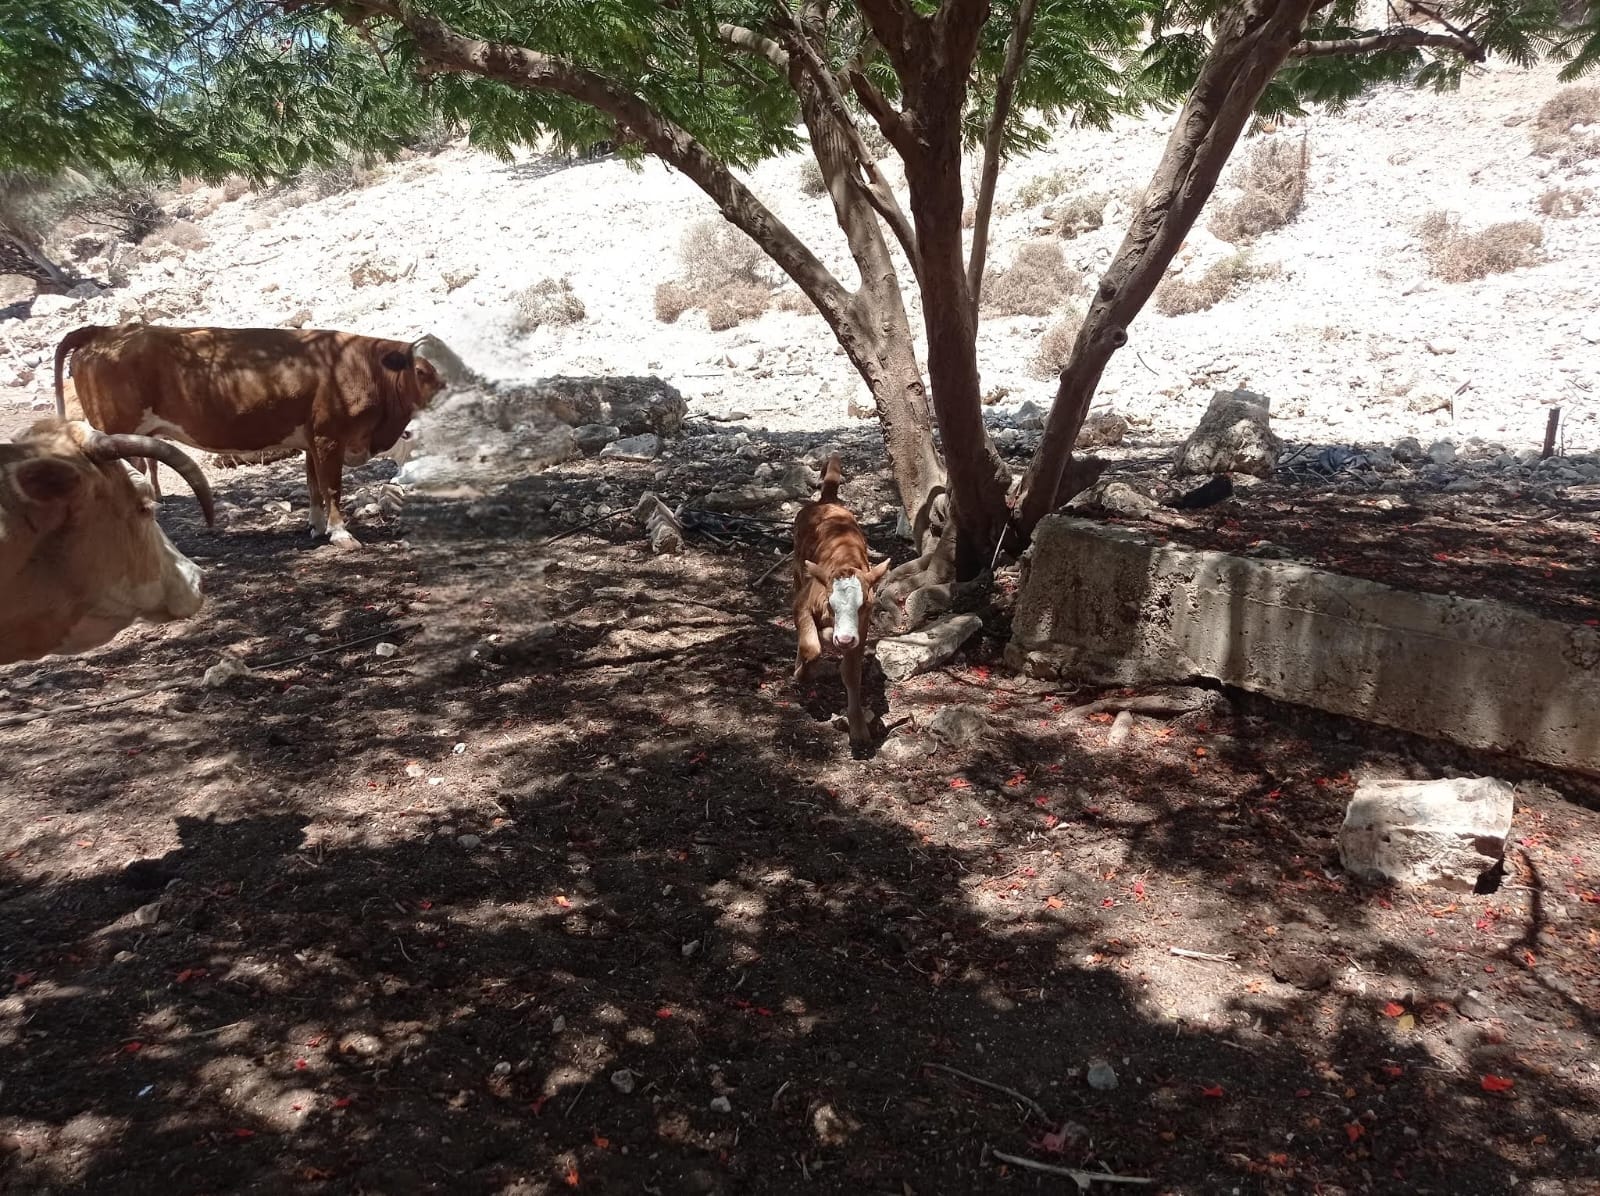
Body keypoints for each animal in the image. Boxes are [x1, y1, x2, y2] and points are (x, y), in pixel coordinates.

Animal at [56, 327, 444, 550]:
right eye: (422, 371)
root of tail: (105, 329)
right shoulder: (329, 437)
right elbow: (332, 486)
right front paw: (341, 534)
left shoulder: (311, 440)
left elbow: (314, 485)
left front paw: (317, 527)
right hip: (117, 433)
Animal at [796, 454, 896, 748]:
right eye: (831, 604)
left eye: (864, 606)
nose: (844, 639)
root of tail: (827, 501)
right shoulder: (802, 603)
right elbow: (811, 648)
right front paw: (800, 674)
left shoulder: (860, 631)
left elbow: (852, 673)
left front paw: (859, 728)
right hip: (797, 570)